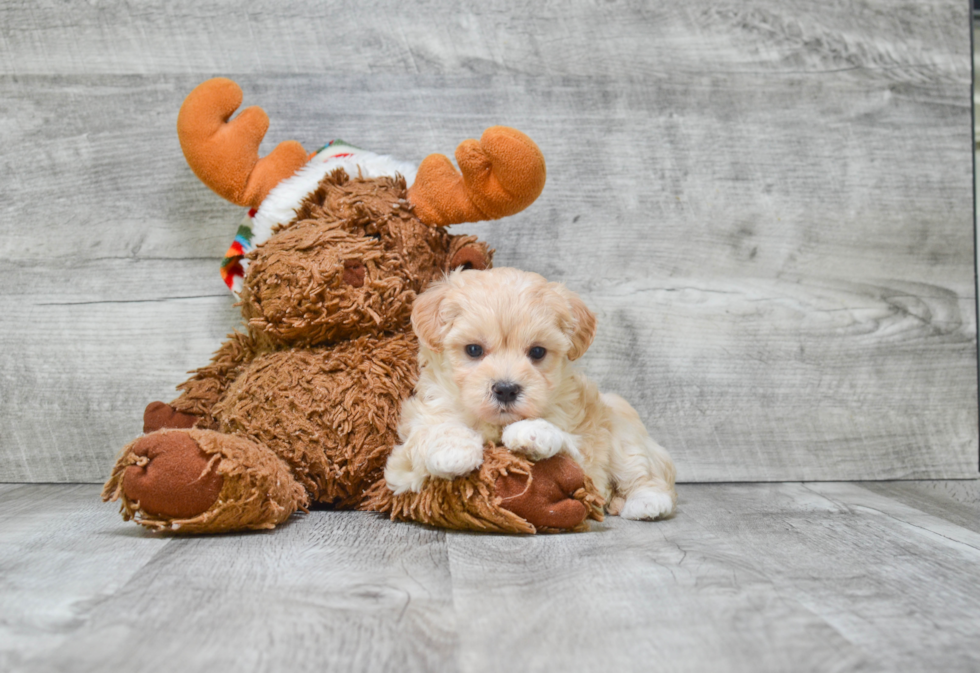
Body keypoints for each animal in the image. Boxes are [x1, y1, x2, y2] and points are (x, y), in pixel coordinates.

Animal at [386, 268, 676, 520]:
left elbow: (567, 442)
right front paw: (453, 449)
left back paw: (647, 503)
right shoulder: (403, 461)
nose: (506, 389)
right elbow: (432, 432)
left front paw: (531, 432)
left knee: (641, 472)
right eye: (473, 350)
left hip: (623, 433)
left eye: (537, 352)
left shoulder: (586, 458)